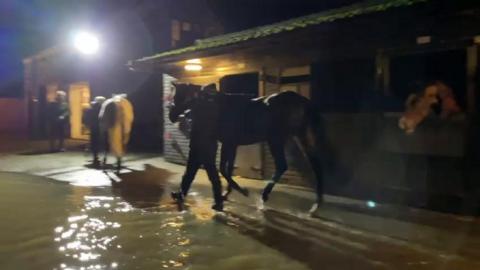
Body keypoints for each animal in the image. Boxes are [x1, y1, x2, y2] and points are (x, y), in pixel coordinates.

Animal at [167, 83, 324, 210]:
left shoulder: (229, 143)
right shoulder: (230, 144)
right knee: (312, 163)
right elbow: (227, 169)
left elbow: (224, 169)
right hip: (295, 138)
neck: (216, 105)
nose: (171, 116)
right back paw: (316, 204)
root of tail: (302, 100)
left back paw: (265, 196)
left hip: (276, 139)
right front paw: (226, 194)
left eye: (178, 97)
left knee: (283, 165)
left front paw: (241, 191)